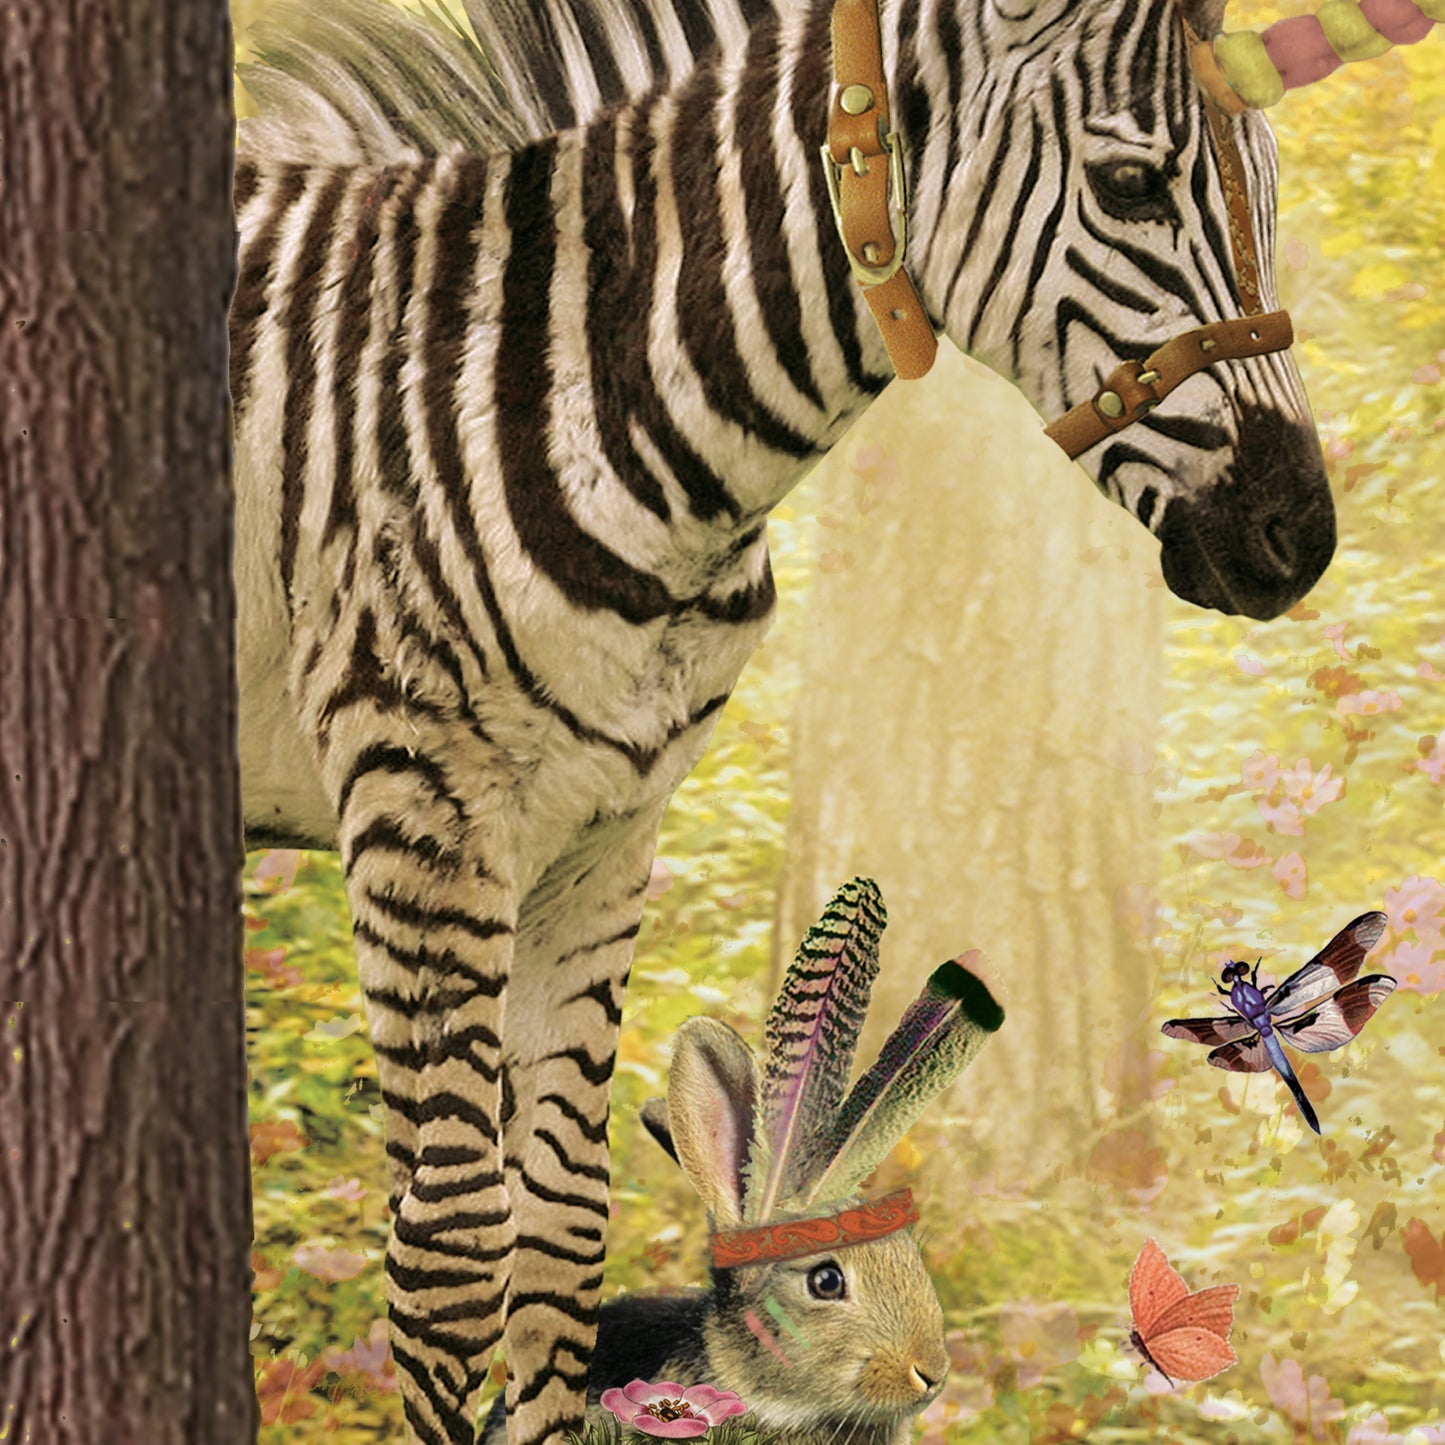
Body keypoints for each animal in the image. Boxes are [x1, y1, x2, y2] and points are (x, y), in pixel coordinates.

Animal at [233, 0, 1335, 1441]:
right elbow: (456, 1245)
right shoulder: (425, 807)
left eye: (1271, 181)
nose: (1300, 540)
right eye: (1128, 186)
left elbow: (558, 1232)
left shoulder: (606, 831)